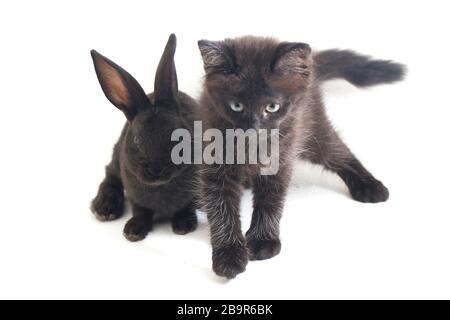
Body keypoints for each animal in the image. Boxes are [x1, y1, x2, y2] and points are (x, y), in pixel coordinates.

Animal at [90, 34, 198, 240]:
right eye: (136, 140)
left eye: (177, 137)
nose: (156, 169)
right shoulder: (134, 195)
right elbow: (140, 210)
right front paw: (133, 231)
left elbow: (188, 205)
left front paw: (184, 225)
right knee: (110, 175)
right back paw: (104, 208)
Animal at [197, 37, 404, 278]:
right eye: (236, 106)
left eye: (272, 107)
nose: (253, 128)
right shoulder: (214, 161)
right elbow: (221, 206)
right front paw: (229, 254)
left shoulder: (283, 154)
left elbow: (270, 200)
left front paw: (263, 241)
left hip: (313, 126)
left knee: (339, 152)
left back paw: (370, 186)